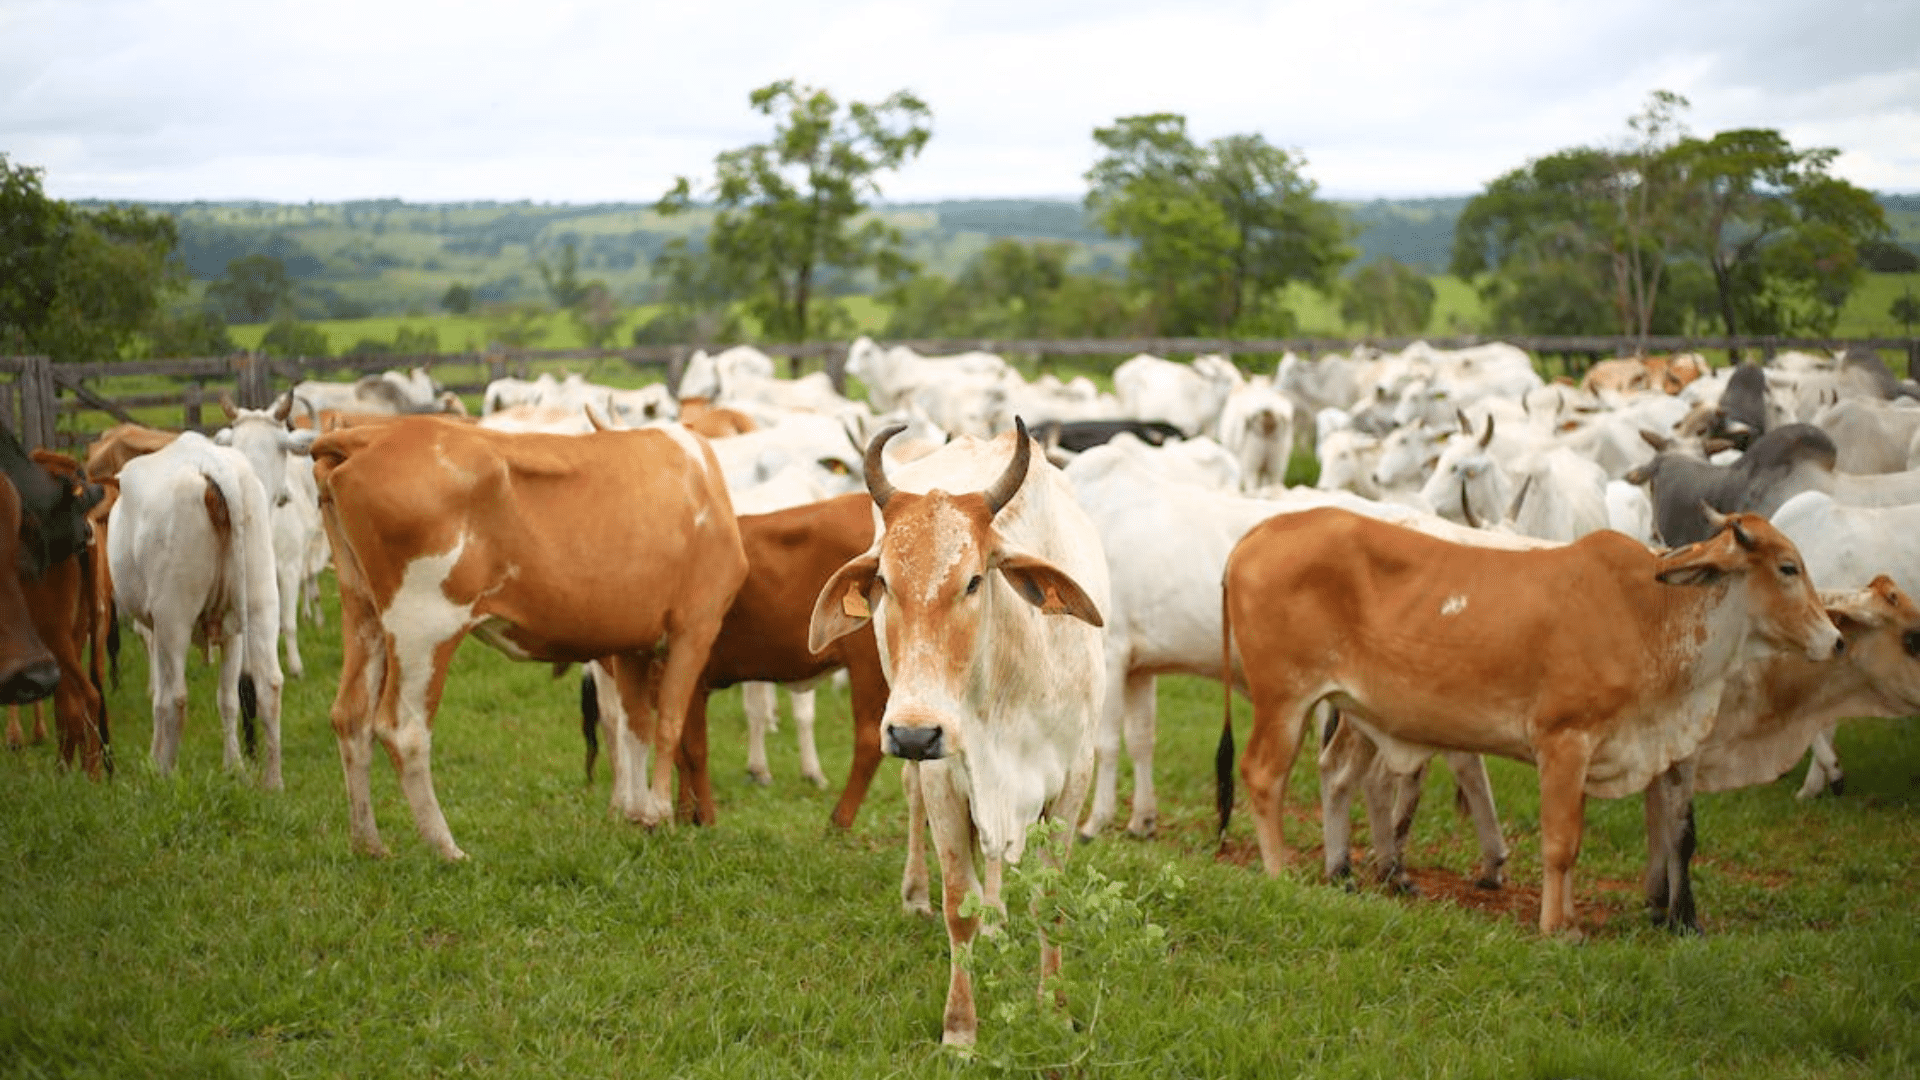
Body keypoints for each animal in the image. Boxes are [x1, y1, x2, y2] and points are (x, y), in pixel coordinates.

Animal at [108, 432, 284, 786]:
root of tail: (210, 463)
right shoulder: (232, 634)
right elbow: (228, 699)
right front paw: (234, 767)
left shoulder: (155, 630)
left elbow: (159, 696)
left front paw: (154, 760)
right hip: (260, 601)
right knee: (268, 684)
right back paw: (271, 782)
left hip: (174, 616)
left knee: (176, 697)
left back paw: (166, 775)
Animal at [310, 416, 747, 859]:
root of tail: (374, 434)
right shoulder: (696, 626)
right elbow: (669, 724)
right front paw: (660, 814)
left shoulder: (632, 644)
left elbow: (635, 726)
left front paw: (639, 816)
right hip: (423, 624)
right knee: (405, 731)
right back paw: (448, 849)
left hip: (361, 609)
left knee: (351, 716)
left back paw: (369, 844)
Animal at [807, 419, 1108, 1046]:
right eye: (884, 581)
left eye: (973, 580)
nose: (913, 735)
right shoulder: (945, 774)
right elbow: (957, 905)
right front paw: (960, 1031)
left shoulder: (1074, 777)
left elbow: (1050, 897)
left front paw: (1054, 1008)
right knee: (915, 804)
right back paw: (917, 893)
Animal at [1218, 506, 1843, 933]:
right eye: (1788, 567)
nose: (1836, 639)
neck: (1649, 614)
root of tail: (1256, 535)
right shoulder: (1564, 742)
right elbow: (1560, 843)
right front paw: (1555, 929)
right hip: (1284, 700)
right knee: (1263, 776)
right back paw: (1279, 873)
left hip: (1347, 709)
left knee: (1335, 775)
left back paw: (1341, 873)